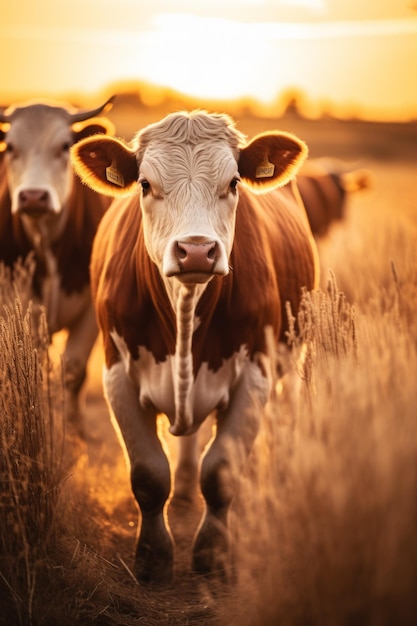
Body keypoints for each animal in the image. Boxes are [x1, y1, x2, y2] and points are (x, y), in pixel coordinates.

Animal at [0, 96, 114, 434]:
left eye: (65, 146)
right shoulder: (16, 304)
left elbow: (73, 370)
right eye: (11, 147)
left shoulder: (92, 309)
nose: (33, 197)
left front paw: (73, 429)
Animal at [71, 109, 318, 584]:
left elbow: (221, 471)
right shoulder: (116, 373)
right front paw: (153, 557)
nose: (197, 251)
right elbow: (149, 475)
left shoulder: (256, 375)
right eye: (144, 184)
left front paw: (212, 554)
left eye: (234, 183)